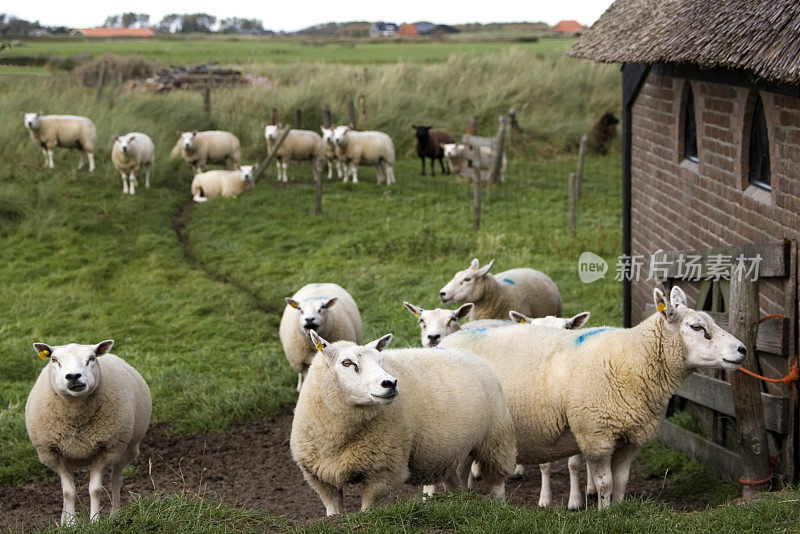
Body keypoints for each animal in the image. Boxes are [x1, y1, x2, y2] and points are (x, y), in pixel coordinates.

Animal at [25, 342, 151, 524]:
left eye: (91, 358)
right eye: (54, 360)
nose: (73, 376)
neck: (75, 412)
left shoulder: (106, 449)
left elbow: (95, 489)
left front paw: (95, 521)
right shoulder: (53, 453)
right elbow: (68, 492)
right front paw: (70, 524)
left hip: (126, 449)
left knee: (116, 481)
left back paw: (115, 514)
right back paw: (63, 521)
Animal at [290, 332, 516, 516]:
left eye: (380, 361)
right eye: (347, 363)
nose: (390, 383)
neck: (337, 438)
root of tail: (469, 354)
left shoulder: (383, 471)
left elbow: (368, 508)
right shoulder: (318, 476)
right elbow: (333, 509)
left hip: (496, 438)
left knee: (497, 482)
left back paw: (500, 507)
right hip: (449, 452)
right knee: (455, 481)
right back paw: (459, 504)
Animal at [438, 286, 744, 512]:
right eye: (696, 327)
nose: (741, 349)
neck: (632, 358)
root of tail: (448, 342)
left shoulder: (631, 437)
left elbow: (621, 482)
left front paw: (617, 511)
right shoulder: (595, 433)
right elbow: (605, 482)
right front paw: (603, 513)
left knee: (460, 469)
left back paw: (463, 501)